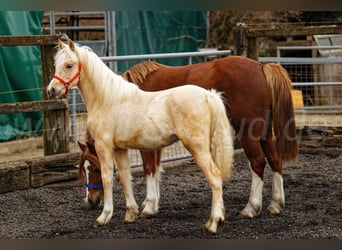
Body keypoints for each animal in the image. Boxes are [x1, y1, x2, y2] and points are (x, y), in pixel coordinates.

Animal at [81, 54, 300, 219]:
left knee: (258, 162)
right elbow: (156, 169)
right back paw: (276, 204)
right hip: (265, 132)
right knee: (275, 160)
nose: (90, 200)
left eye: (94, 168)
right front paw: (151, 203)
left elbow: (149, 168)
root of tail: (261, 67)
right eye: (83, 168)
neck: (122, 96)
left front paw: (149, 206)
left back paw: (251, 208)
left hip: (248, 132)